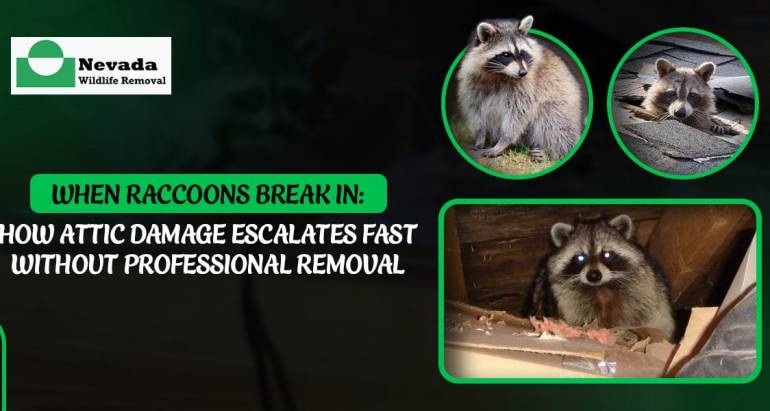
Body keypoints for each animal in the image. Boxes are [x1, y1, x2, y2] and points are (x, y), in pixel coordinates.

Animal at [456, 16, 582, 161]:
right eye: (506, 54)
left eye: (523, 53)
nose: (523, 72)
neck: (499, 74)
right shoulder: (472, 82)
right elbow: (476, 110)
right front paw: (480, 136)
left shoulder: (526, 86)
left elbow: (518, 114)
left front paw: (503, 142)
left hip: (564, 110)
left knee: (552, 119)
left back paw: (553, 152)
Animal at [526, 214, 675, 340]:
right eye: (580, 258)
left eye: (607, 255)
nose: (593, 275)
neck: (601, 288)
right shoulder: (567, 297)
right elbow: (579, 317)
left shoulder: (642, 288)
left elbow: (637, 312)